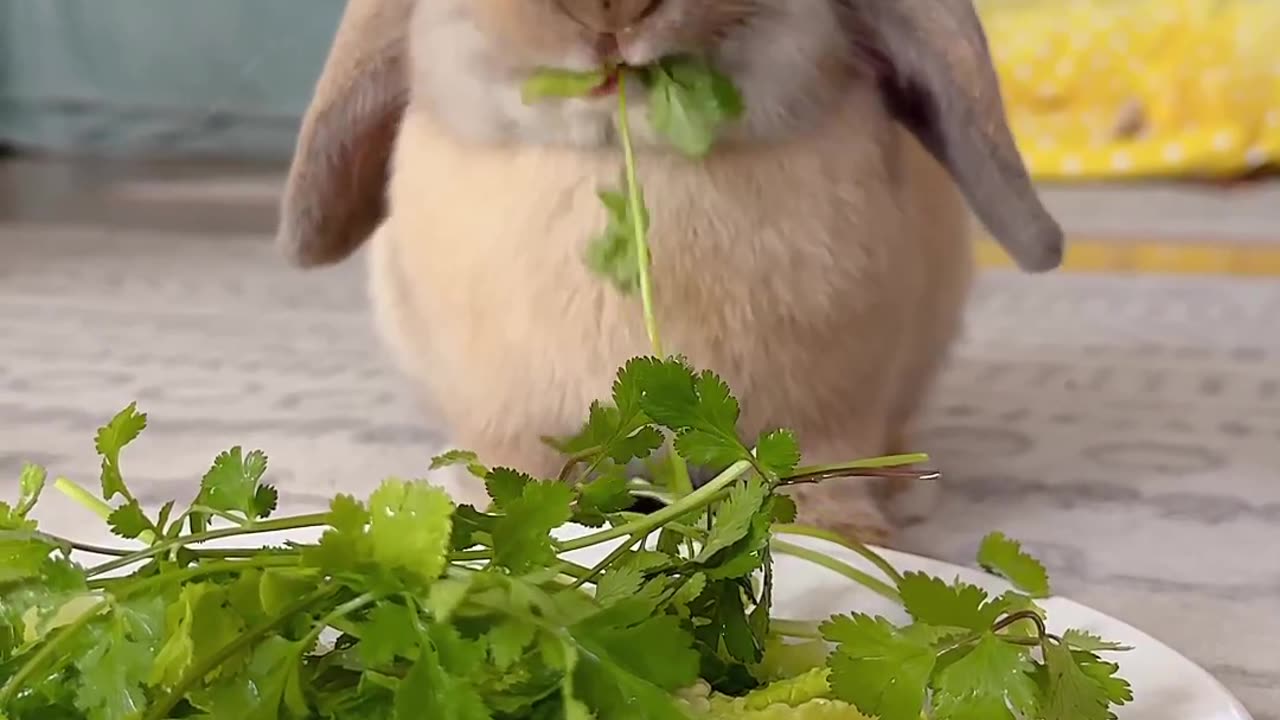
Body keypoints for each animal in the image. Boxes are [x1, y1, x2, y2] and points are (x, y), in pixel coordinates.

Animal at [275, 0, 1064, 543]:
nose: (609, 12)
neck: (627, 154)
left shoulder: (840, 397)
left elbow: (825, 463)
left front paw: (843, 535)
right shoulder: (502, 413)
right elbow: (515, 467)